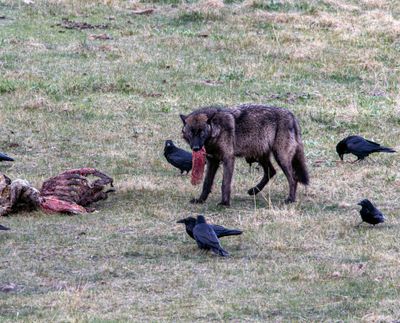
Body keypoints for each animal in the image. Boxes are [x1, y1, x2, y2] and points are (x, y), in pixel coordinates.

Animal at [180, 105, 310, 206]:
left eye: (201, 132)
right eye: (191, 133)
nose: (195, 148)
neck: (217, 130)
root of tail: (292, 116)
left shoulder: (228, 159)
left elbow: (225, 183)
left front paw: (224, 203)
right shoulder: (213, 161)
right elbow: (206, 183)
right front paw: (200, 200)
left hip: (281, 158)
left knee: (293, 179)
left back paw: (290, 199)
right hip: (261, 156)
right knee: (271, 171)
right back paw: (253, 191)